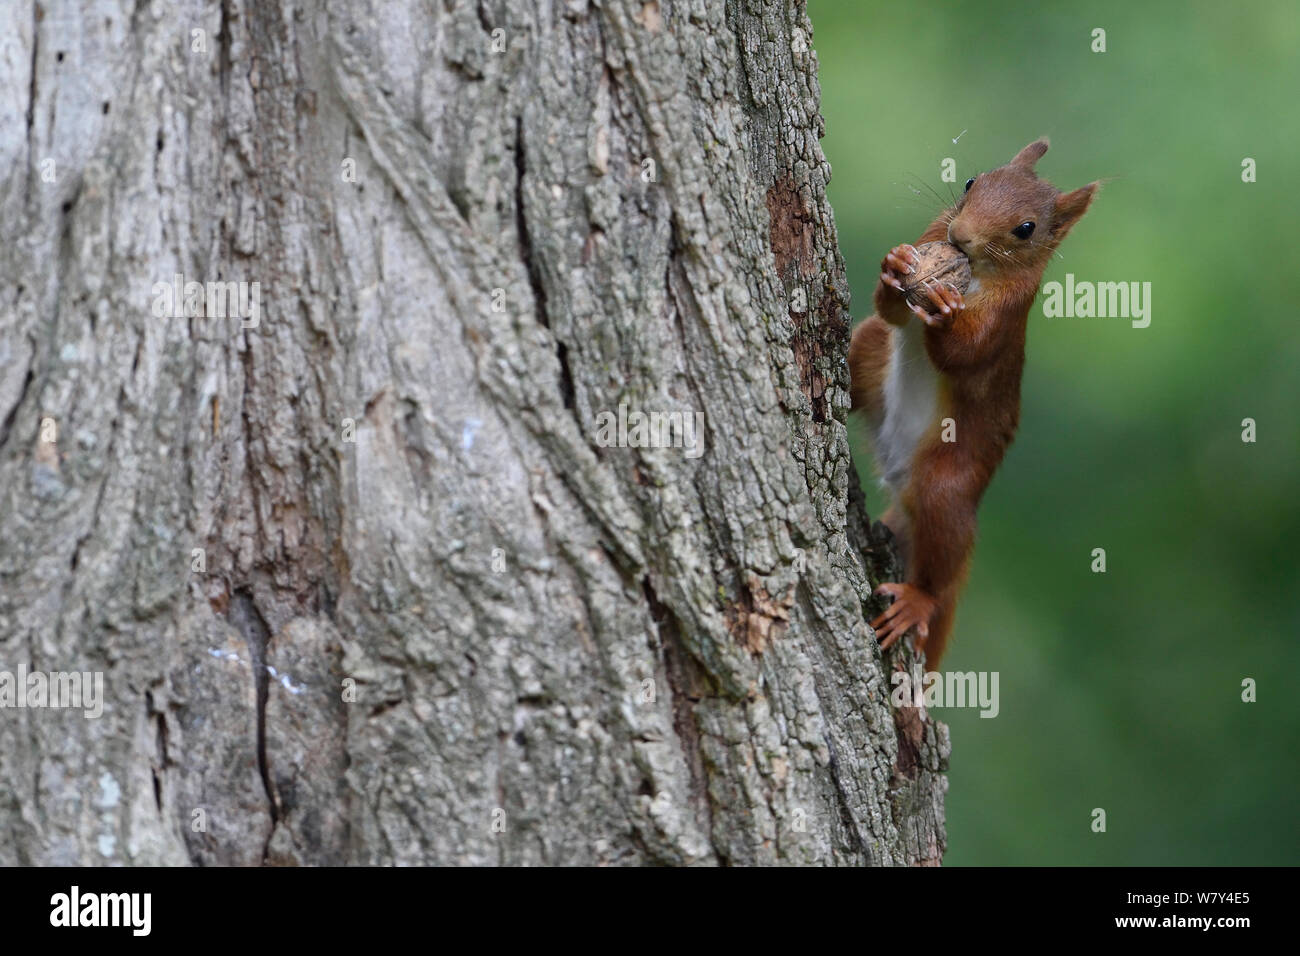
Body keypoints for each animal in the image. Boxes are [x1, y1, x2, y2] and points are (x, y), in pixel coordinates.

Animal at [852, 140, 1097, 665]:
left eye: (1026, 229)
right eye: (971, 182)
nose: (960, 237)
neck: (977, 273)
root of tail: (898, 481)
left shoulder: (1006, 316)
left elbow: (967, 353)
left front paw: (945, 312)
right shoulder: (931, 233)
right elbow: (891, 309)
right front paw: (897, 264)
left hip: (946, 485)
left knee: (942, 555)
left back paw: (919, 600)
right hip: (869, 349)